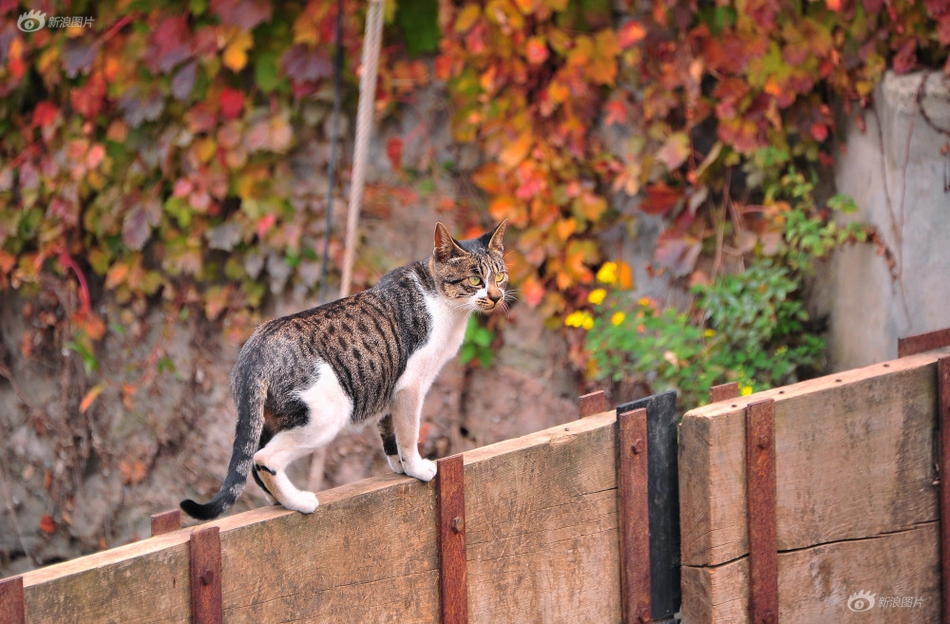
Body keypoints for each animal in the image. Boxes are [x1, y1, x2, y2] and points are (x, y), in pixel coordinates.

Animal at [178, 221, 506, 520]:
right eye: (475, 279)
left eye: (500, 275)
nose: (496, 297)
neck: (444, 304)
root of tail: (253, 351)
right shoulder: (410, 387)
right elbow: (408, 434)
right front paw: (417, 468)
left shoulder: (389, 388)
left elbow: (390, 436)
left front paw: (400, 468)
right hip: (327, 413)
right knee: (262, 459)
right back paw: (299, 502)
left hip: (272, 418)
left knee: (253, 461)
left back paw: (279, 500)